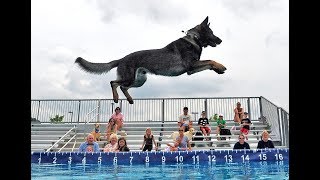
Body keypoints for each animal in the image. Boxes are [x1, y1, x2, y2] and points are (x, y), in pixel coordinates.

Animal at [75, 17, 226, 104]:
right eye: (212, 32)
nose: (220, 40)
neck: (194, 38)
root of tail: (122, 59)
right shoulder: (191, 65)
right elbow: (210, 60)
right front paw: (221, 66)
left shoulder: (192, 69)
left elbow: (209, 63)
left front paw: (218, 69)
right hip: (130, 78)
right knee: (114, 83)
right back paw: (116, 98)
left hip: (140, 81)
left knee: (123, 86)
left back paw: (129, 99)